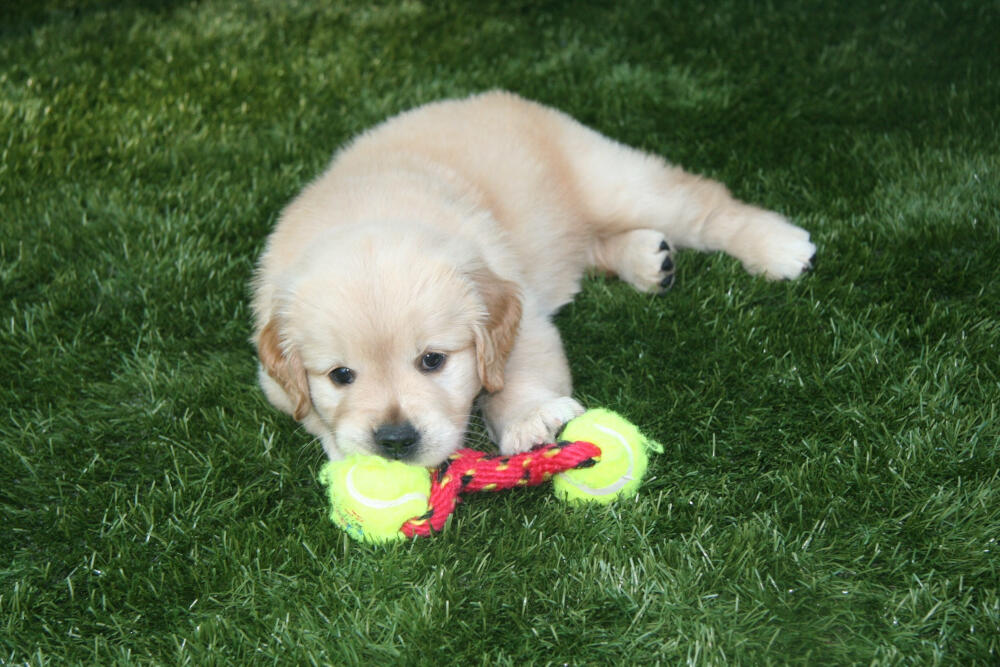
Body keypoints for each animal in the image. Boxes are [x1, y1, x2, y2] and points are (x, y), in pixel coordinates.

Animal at [250, 91, 812, 468]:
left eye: (433, 361)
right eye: (340, 375)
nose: (394, 440)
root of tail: (498, 97)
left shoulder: (522, 314)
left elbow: (518, 373)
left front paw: (529, 419)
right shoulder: (272, 378)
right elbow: (307, 413)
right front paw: (342, 451)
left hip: (617, 184)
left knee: (705, 205)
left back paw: (779, 246)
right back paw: (650, 261)